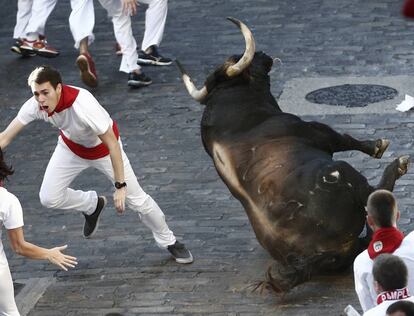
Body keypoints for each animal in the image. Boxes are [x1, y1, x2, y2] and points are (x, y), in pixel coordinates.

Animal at [176, 17, 410, 292]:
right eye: (241, 58)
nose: (263, 54)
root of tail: (316, 253)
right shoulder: (315, 131)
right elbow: (344, 138)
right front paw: (377, 145)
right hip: (343, 172)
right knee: (374, 195)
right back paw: (398, 165)